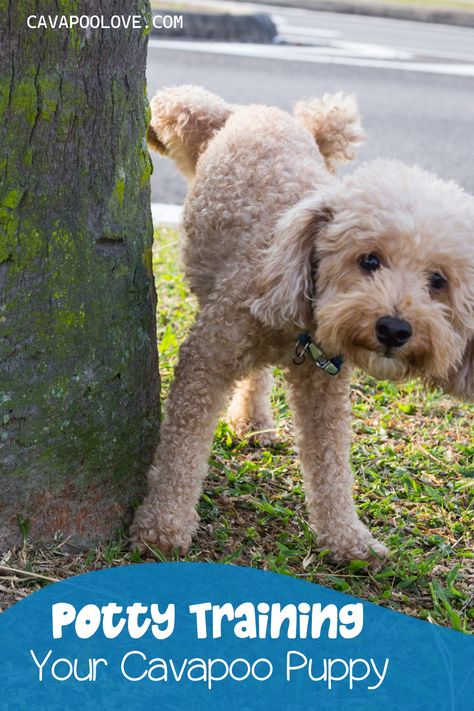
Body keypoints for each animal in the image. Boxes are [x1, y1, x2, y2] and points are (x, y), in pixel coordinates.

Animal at [131, 85, 474, 560]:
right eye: (369, 260)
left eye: (438, 281)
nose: (394, 329)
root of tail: (259, 112)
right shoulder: (207, 357)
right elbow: (182, 448)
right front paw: (163, 525)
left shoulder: (324, 386)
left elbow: (331, 464)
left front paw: (347, 538)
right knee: (180, 101)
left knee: (257, 376)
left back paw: (254, 421)